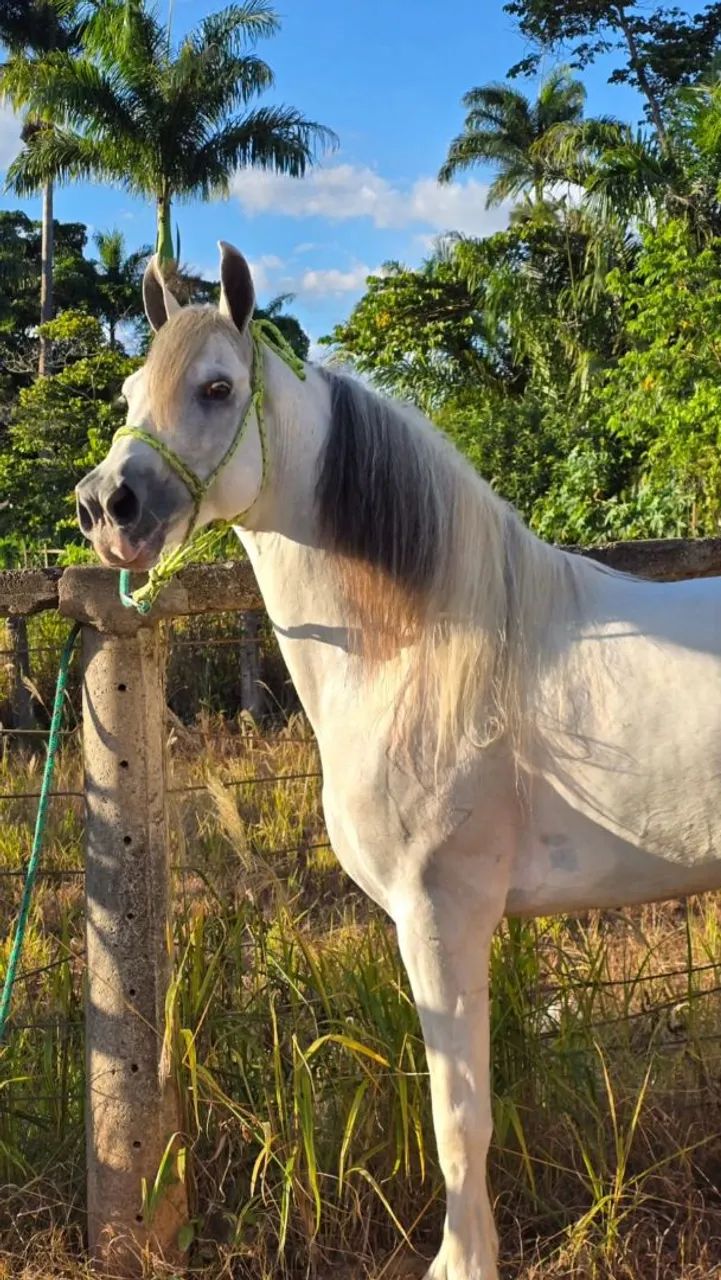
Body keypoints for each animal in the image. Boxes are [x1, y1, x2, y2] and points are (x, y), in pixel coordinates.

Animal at [76, 242, 721, 1280]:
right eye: (133, 391)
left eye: (216, 387)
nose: (106, 506)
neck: (419, 651)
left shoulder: (439, 916)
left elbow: (459, 1120)